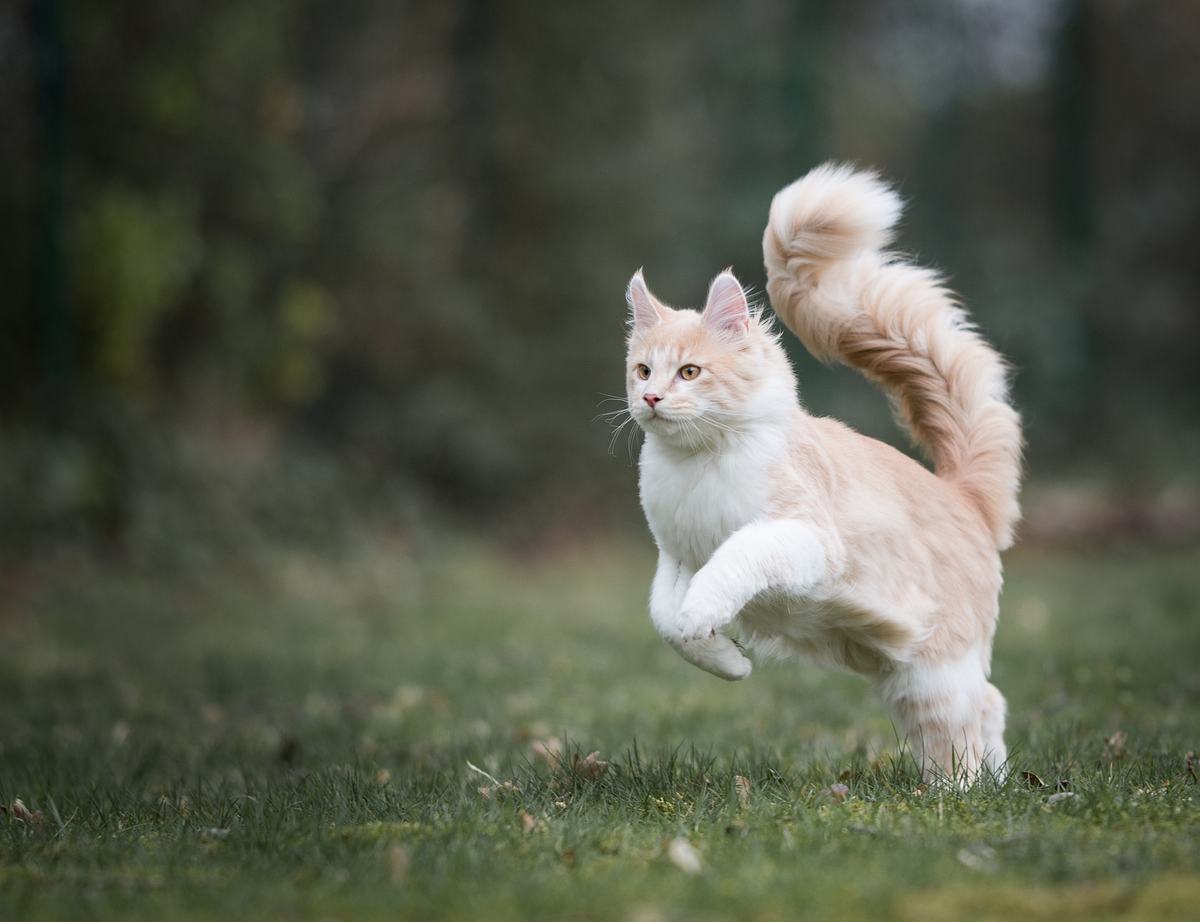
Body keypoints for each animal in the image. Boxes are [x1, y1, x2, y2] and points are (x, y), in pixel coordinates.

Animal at [628, 162, 1022, 782]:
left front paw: (706, 615)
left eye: (689, 372)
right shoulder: (676, 557)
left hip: (935, 674)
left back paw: (960, 794)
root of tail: (963, 495)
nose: (650, 398)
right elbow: (664, 618)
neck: (697, 464)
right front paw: (728, 660)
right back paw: (993, 783)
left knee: (967, 726)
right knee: (989, 706)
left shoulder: (803, 537)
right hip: (902, 674)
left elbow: (733, 561)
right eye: (643, 369)